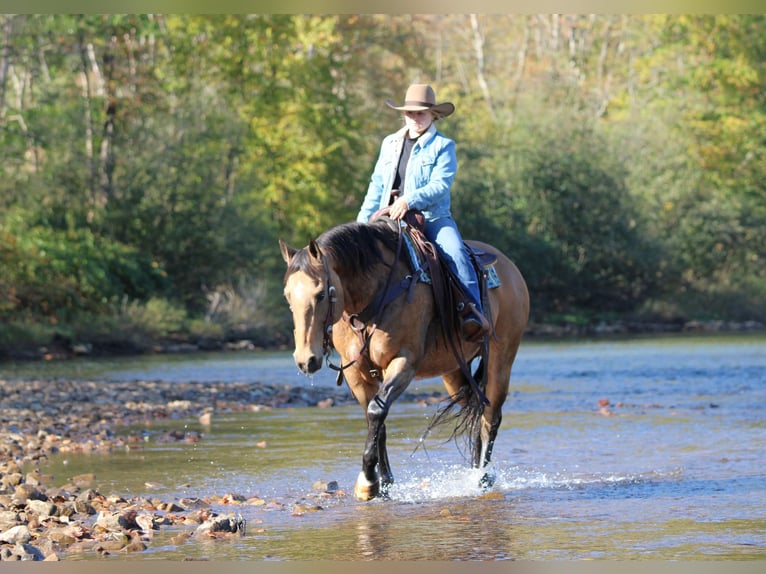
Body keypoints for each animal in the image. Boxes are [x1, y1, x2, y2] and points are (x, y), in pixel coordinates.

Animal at [279, 216, 529, 501]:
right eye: (288, 295)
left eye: (321, 294)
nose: (305, 359)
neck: (374, 297)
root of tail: (510, 268)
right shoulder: (356, 374)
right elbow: (376, 422)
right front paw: (384, 484)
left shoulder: (404, 362)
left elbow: (377, 411)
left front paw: (367, 481)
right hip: (454, 370)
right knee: (475, 408)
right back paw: (475, 471)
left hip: (501, 358)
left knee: (491, 415)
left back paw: (483, 477)